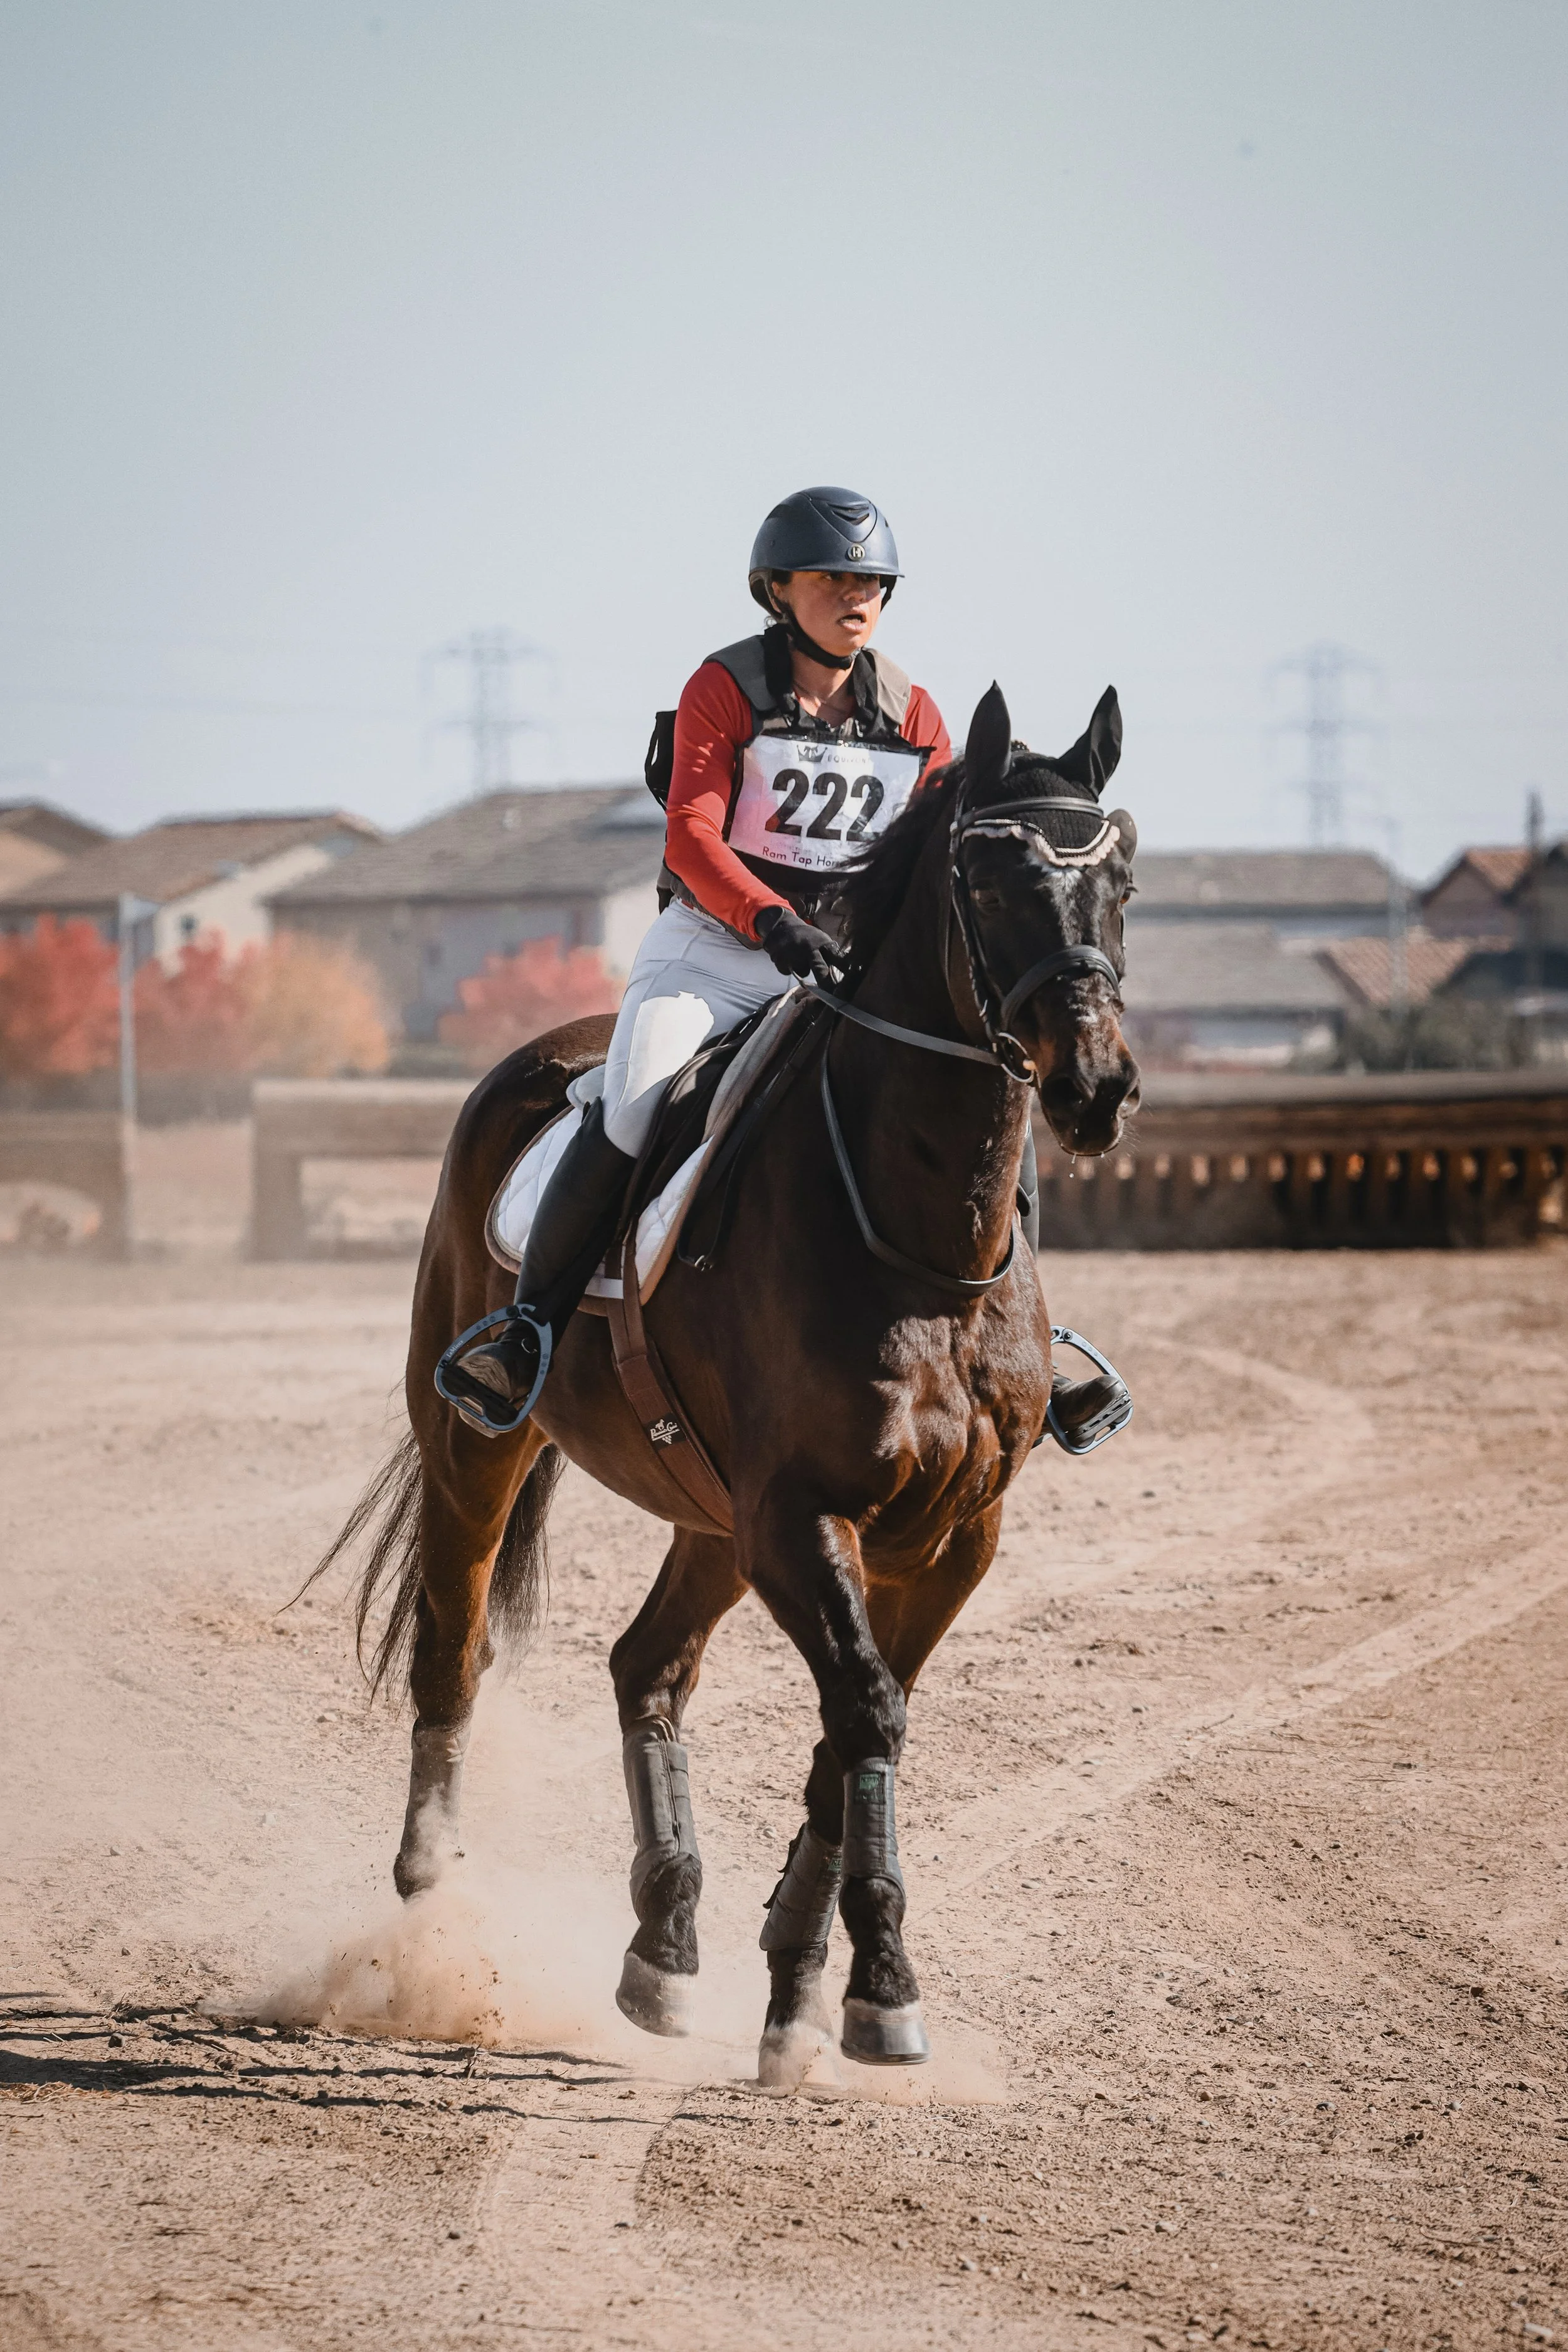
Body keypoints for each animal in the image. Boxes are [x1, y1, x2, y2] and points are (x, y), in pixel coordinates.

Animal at [315, 680, 1139, 2085]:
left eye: (1121, 877)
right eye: (987, 875)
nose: (1095, 1086)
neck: (915, 1241)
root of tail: (538, 1057)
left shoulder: (948, 1535)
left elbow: (855, 1731)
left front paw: (798, 1982)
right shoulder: (799, 1515)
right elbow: (862, 1710)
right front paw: (877, 1982)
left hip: (708, 1515)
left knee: (646, 1667)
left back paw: (663, 1941)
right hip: (482, 1446)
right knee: (453, 1645)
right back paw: (432, 1902)